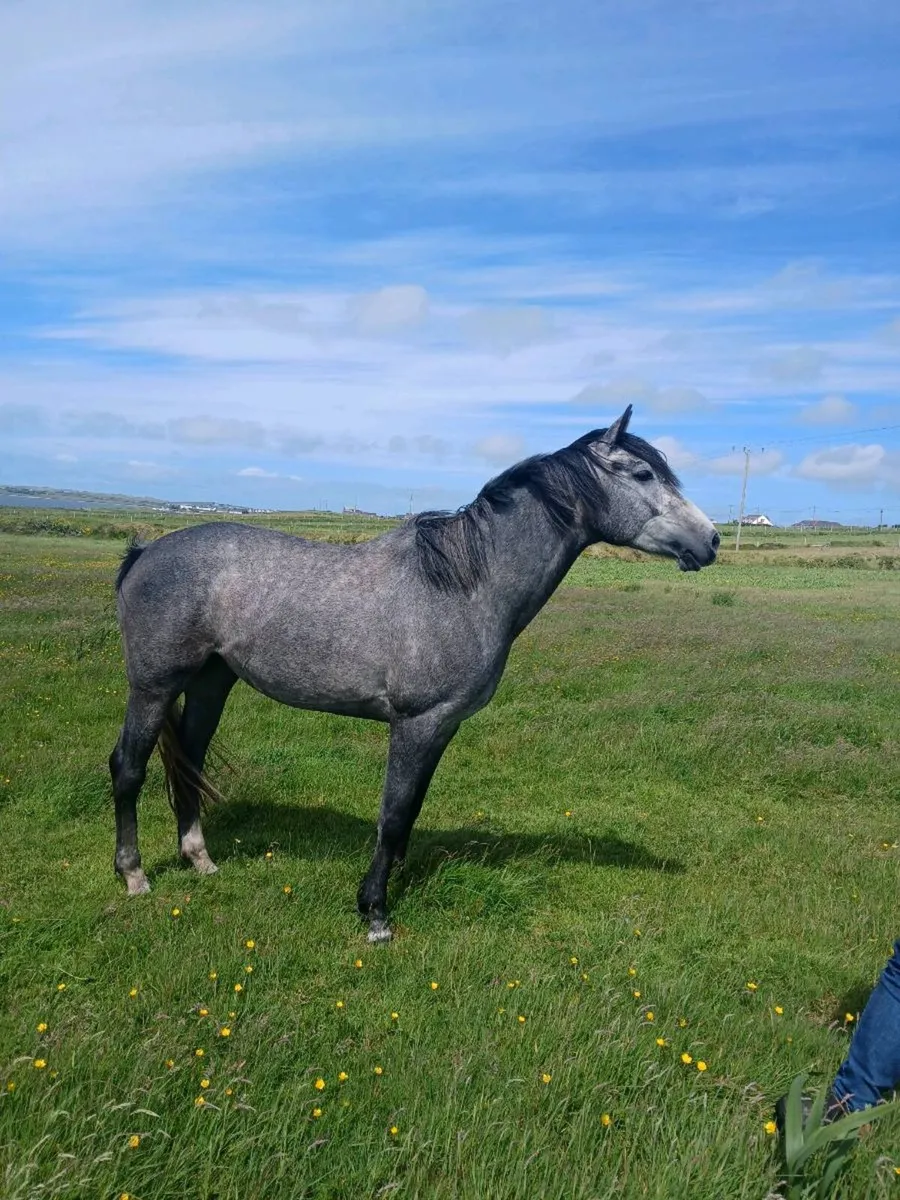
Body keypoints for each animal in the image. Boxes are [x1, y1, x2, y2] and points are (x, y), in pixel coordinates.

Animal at [110, 405, 718, 941]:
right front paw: (375, 911)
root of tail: (144, 552)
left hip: (212, 680)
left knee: (188, 761)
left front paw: (392, 882)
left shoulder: (442, 726)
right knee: (128, 768)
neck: (465, 585)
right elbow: (396, 811)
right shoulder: (416, 723)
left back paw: (200, 860)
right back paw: (134, 875)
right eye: (642, 473)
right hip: (154, 686)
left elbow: (411, 808)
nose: (710, 540)